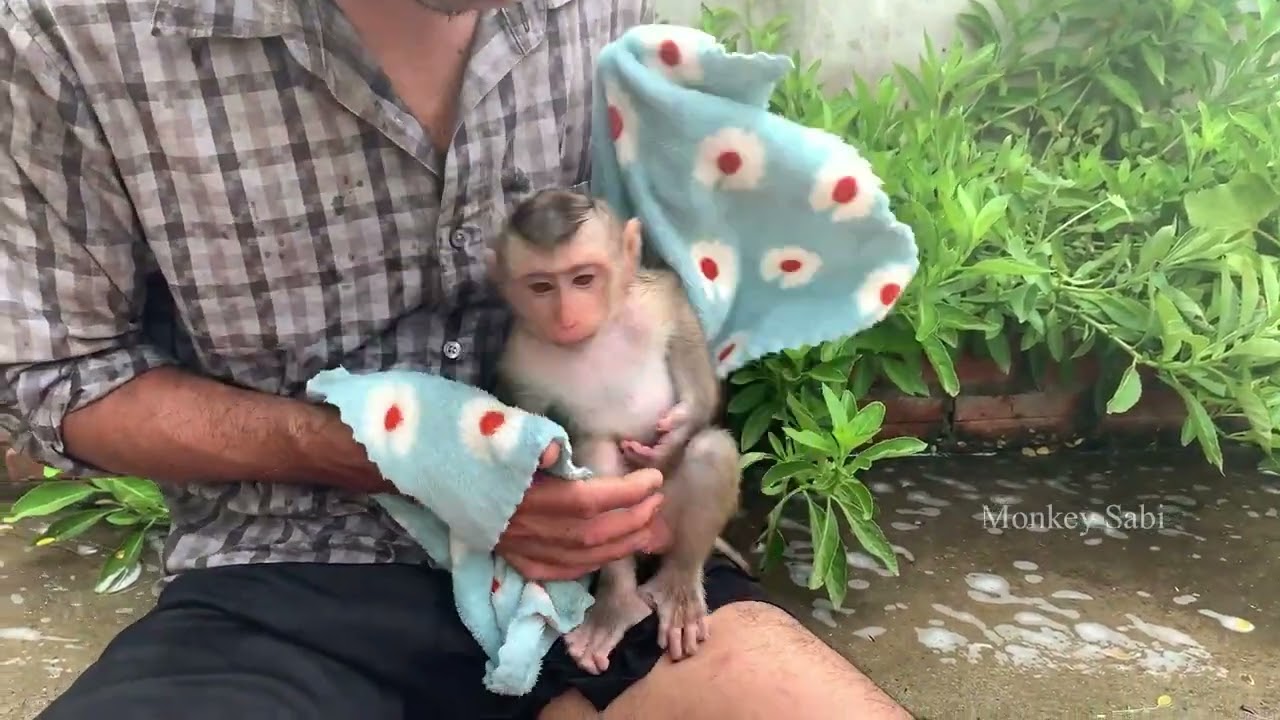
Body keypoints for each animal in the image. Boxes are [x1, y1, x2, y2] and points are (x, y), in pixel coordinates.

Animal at [487, 188, 743, 675]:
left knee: (711, 452)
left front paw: (678, 428)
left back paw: (678, 584)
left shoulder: (652, 301)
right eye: (542, 286)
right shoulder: (516, 363)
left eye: (583, 279)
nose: (567, 314)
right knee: (599, 457)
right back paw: (618, 603)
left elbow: (680, 321)